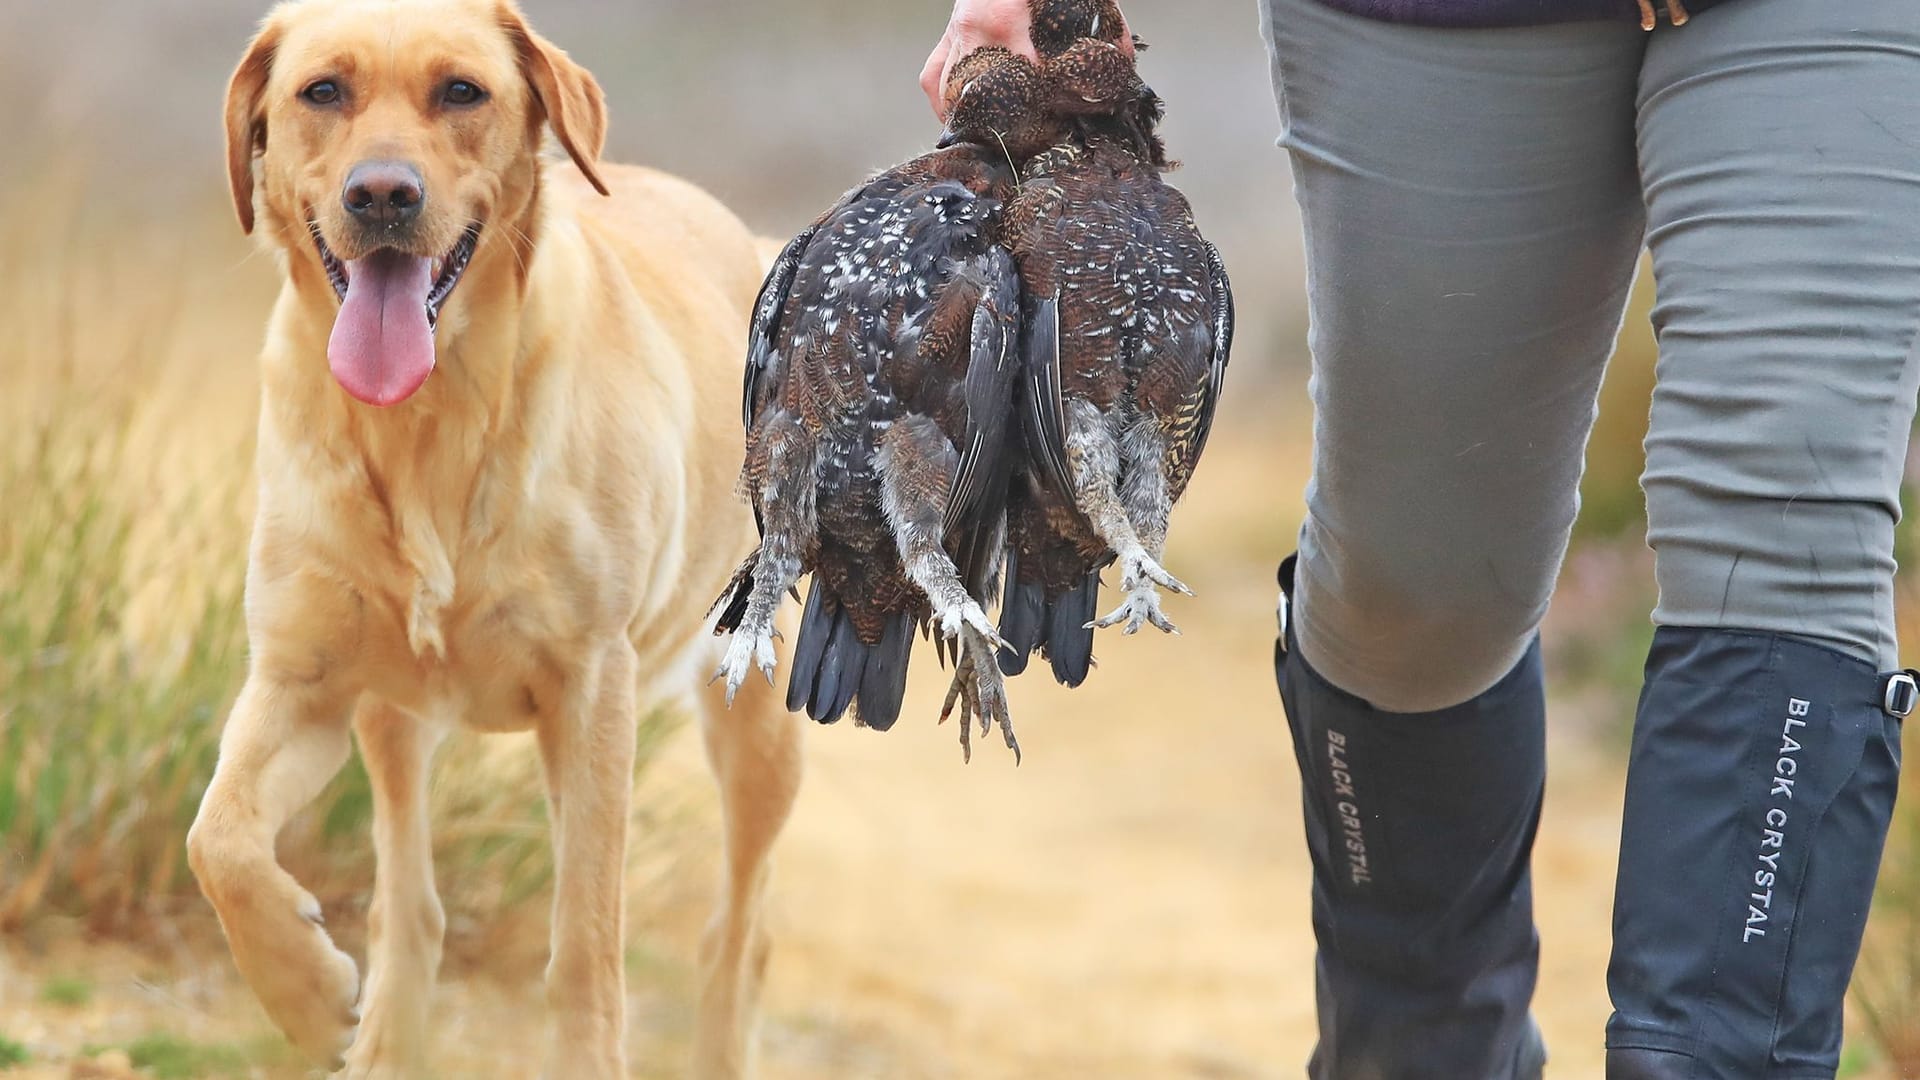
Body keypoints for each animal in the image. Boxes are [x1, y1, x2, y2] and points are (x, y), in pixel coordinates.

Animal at [189, 4, 802, 1068]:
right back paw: (382, 1045)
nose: (382, 193)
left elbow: (586, 947)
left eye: (462, 92)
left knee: (736, 936)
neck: (426, 424)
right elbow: (217, 840)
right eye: (322, 91)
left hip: (751, 724)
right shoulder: (304, 682)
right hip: (395, 717)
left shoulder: (590, 689)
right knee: (410, 903)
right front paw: (304, 996)